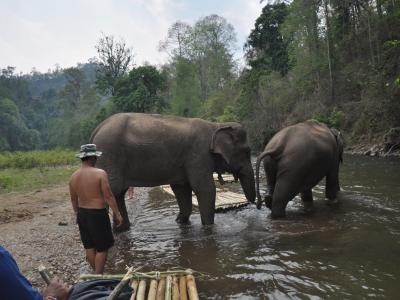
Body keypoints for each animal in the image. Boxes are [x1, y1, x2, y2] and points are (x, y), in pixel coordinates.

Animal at [90, 112, 256, 230]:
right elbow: (205, 189)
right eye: (247, 151)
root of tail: (97, 129)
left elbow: (181, 190)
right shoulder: (198, 155)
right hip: (109, 155)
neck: (215, 125)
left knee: (117, 194)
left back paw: (122, 230)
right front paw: (209, 228)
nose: (257, 204)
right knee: (110, 192)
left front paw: (180, 222)